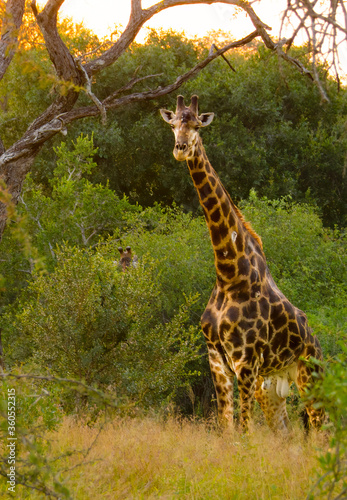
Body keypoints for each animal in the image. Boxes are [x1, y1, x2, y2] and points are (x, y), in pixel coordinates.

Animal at [162, 95, 324, 432]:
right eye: (173, 125)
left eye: (197, 126)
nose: (181, 148)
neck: (229, 274)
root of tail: (317, 344)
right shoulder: (216, 358)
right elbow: (227, 427)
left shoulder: (246, 361)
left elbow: (244, 430)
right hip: (272, 388)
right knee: (286, 431)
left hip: (310, 379)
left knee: (321, 429)